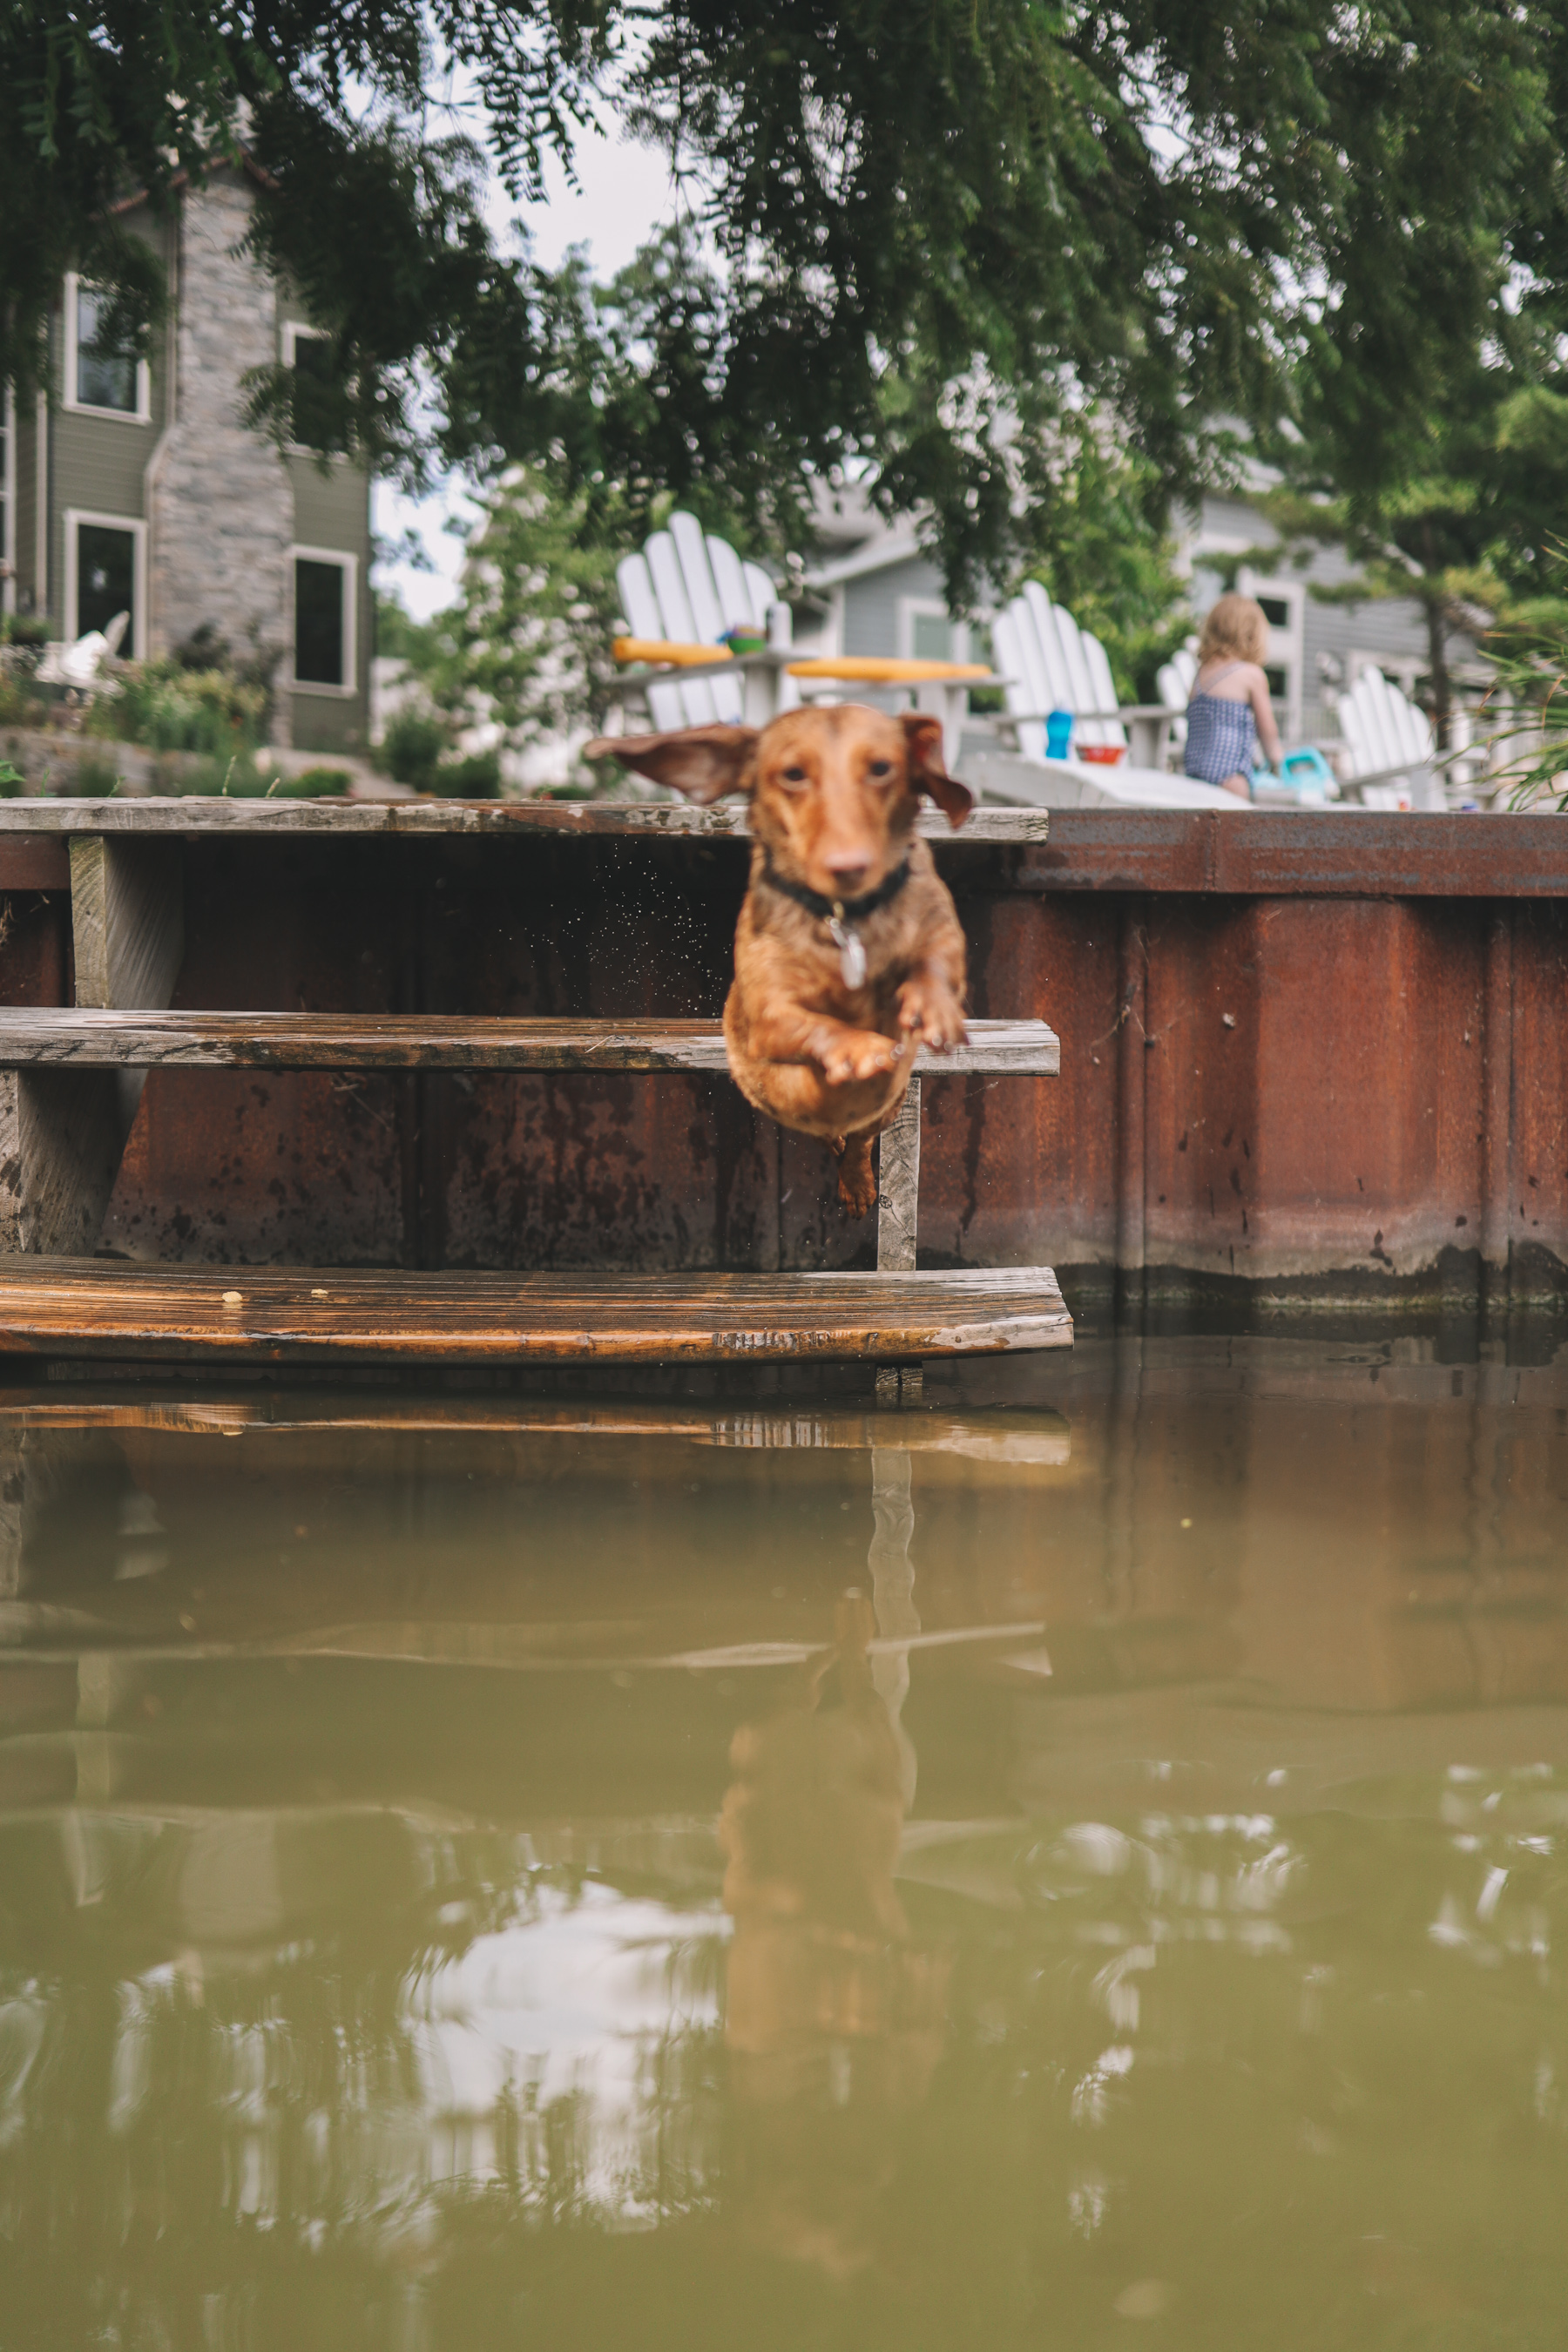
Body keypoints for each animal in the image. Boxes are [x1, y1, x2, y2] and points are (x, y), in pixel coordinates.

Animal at [585, 696, 968, 1213]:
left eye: (882, 768)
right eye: (793, 774)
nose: (848, 865)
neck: (844, 917)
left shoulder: (939, 926)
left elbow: (936, 959)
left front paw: (932, 1006)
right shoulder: (772, 1014)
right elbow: (813, 1025)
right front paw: (856, 1048)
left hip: (886, 1112)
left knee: (861, 1141)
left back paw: (857, 1181)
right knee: (831, 1133)